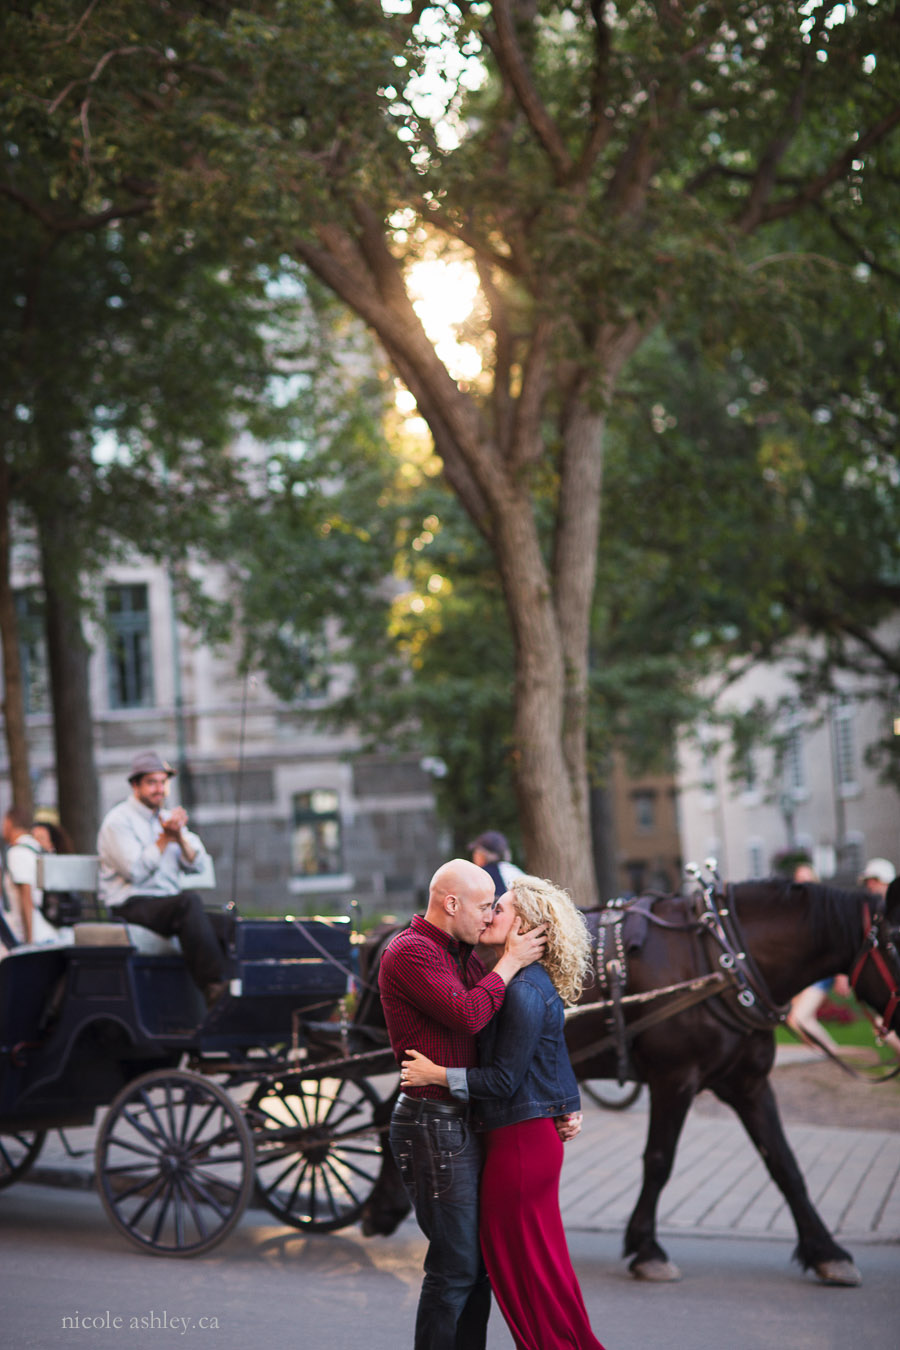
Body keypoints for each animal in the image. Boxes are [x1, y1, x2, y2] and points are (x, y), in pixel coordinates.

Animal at [356, 874, 895, 1285]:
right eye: (894, 943)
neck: (725, 956)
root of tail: (389, 932)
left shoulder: (749, 1083)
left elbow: (784, 1165)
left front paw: (827, 1252)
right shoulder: (674, 1078)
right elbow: (658, 1161)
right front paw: (647, 1248)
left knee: (390, 1112)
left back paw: (385, 1205)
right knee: (389, 1113)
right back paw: (381, 1205)